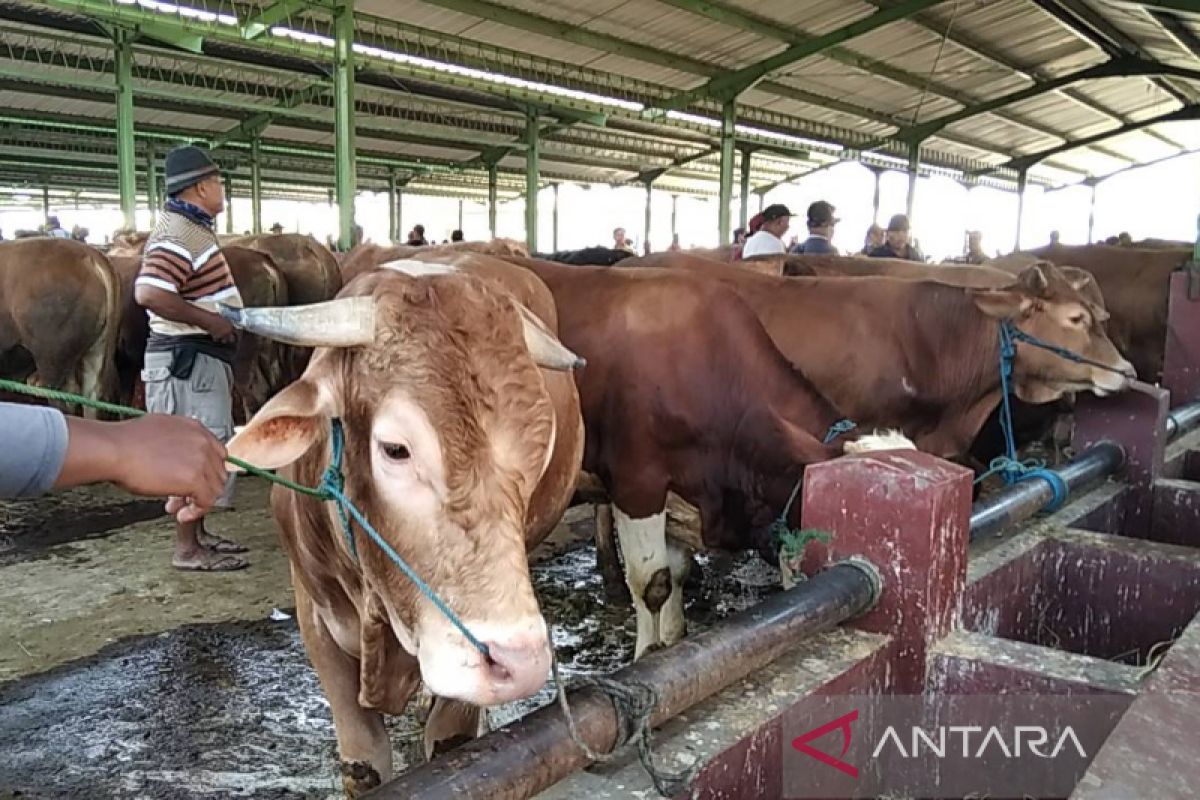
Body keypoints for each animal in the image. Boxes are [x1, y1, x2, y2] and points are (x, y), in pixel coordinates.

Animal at [225, 255, 585, 796]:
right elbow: (365, 761)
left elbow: (451, 740)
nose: (519, 663)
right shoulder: (315, 619)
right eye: (395, 449)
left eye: (540, 451)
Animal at [499, 260, 907, 662]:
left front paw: (672, 638)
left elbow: (678, 571)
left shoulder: (684, 492)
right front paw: (647, 655)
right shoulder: (638, 484)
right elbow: (652, 581)